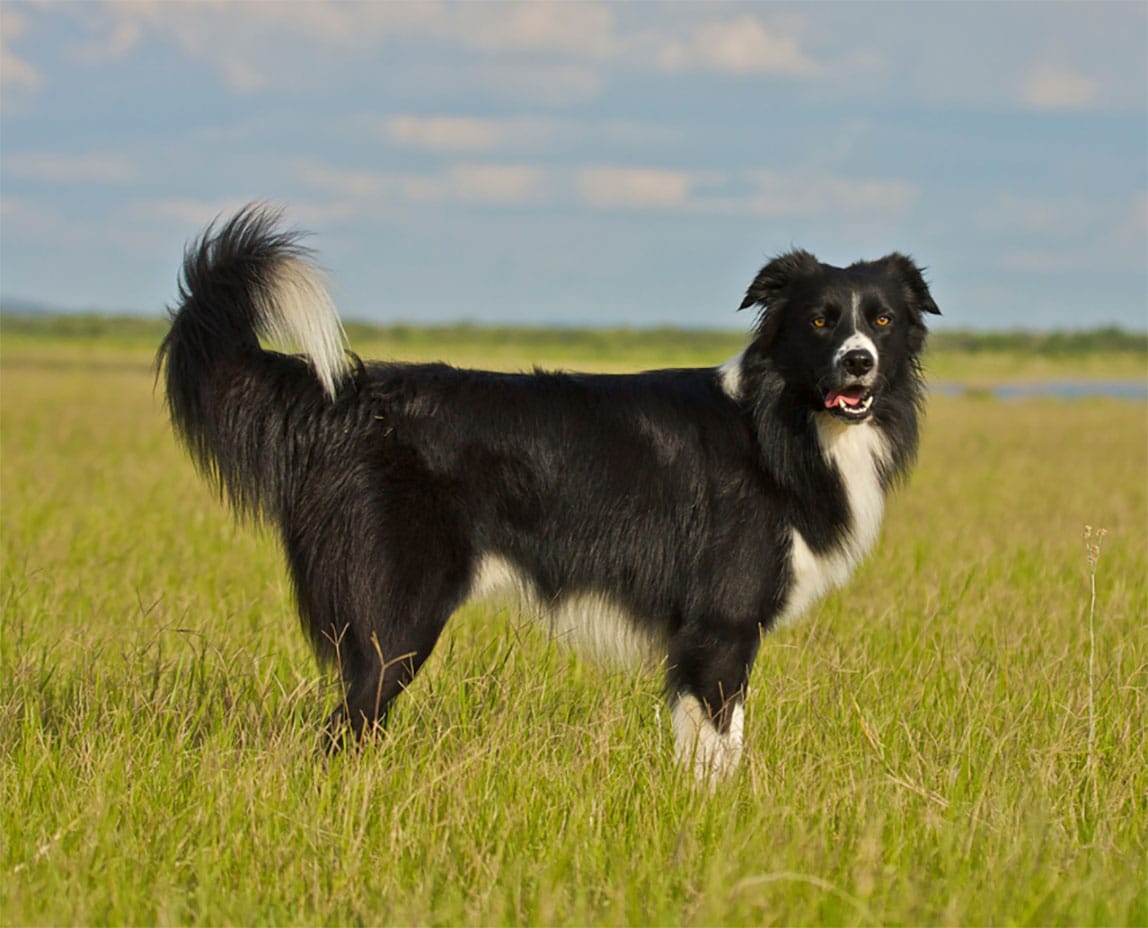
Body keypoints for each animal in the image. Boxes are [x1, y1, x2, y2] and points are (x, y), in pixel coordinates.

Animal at [154, 206, 941, 780]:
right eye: (819, 320)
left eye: (881, 320)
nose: (859, 363)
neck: (781, 422)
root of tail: (346, 399)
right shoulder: (721, 630)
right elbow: (720, 753)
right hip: (396, 625)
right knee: (343, 733)